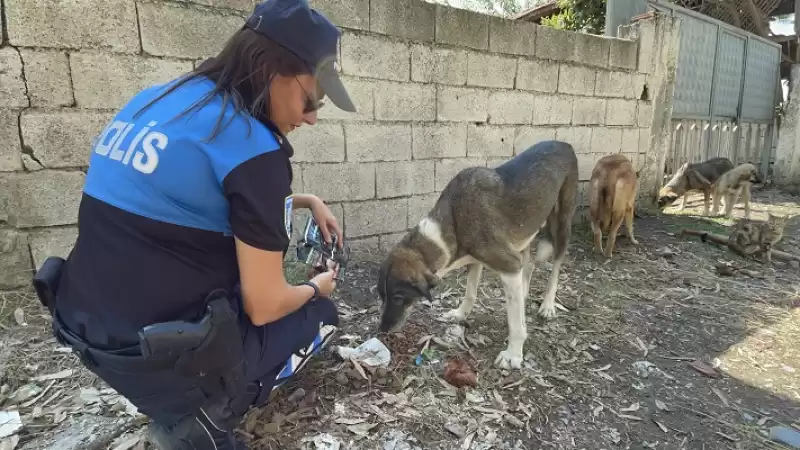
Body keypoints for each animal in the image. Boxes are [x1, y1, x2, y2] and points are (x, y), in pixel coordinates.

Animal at [376, 140, 580, 370]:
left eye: (398, 298)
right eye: (381, 295)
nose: (382, 329)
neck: (451, 224)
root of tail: (565, 143)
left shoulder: (509, 266)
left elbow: (516, 325)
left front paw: (513, 353)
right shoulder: (476, 261)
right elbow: (471, 293)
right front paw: (460, 314)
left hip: (562, 223)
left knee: (556, 266)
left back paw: (547, 305)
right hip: (524, 235)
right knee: (528, 264)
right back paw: (525, 293)